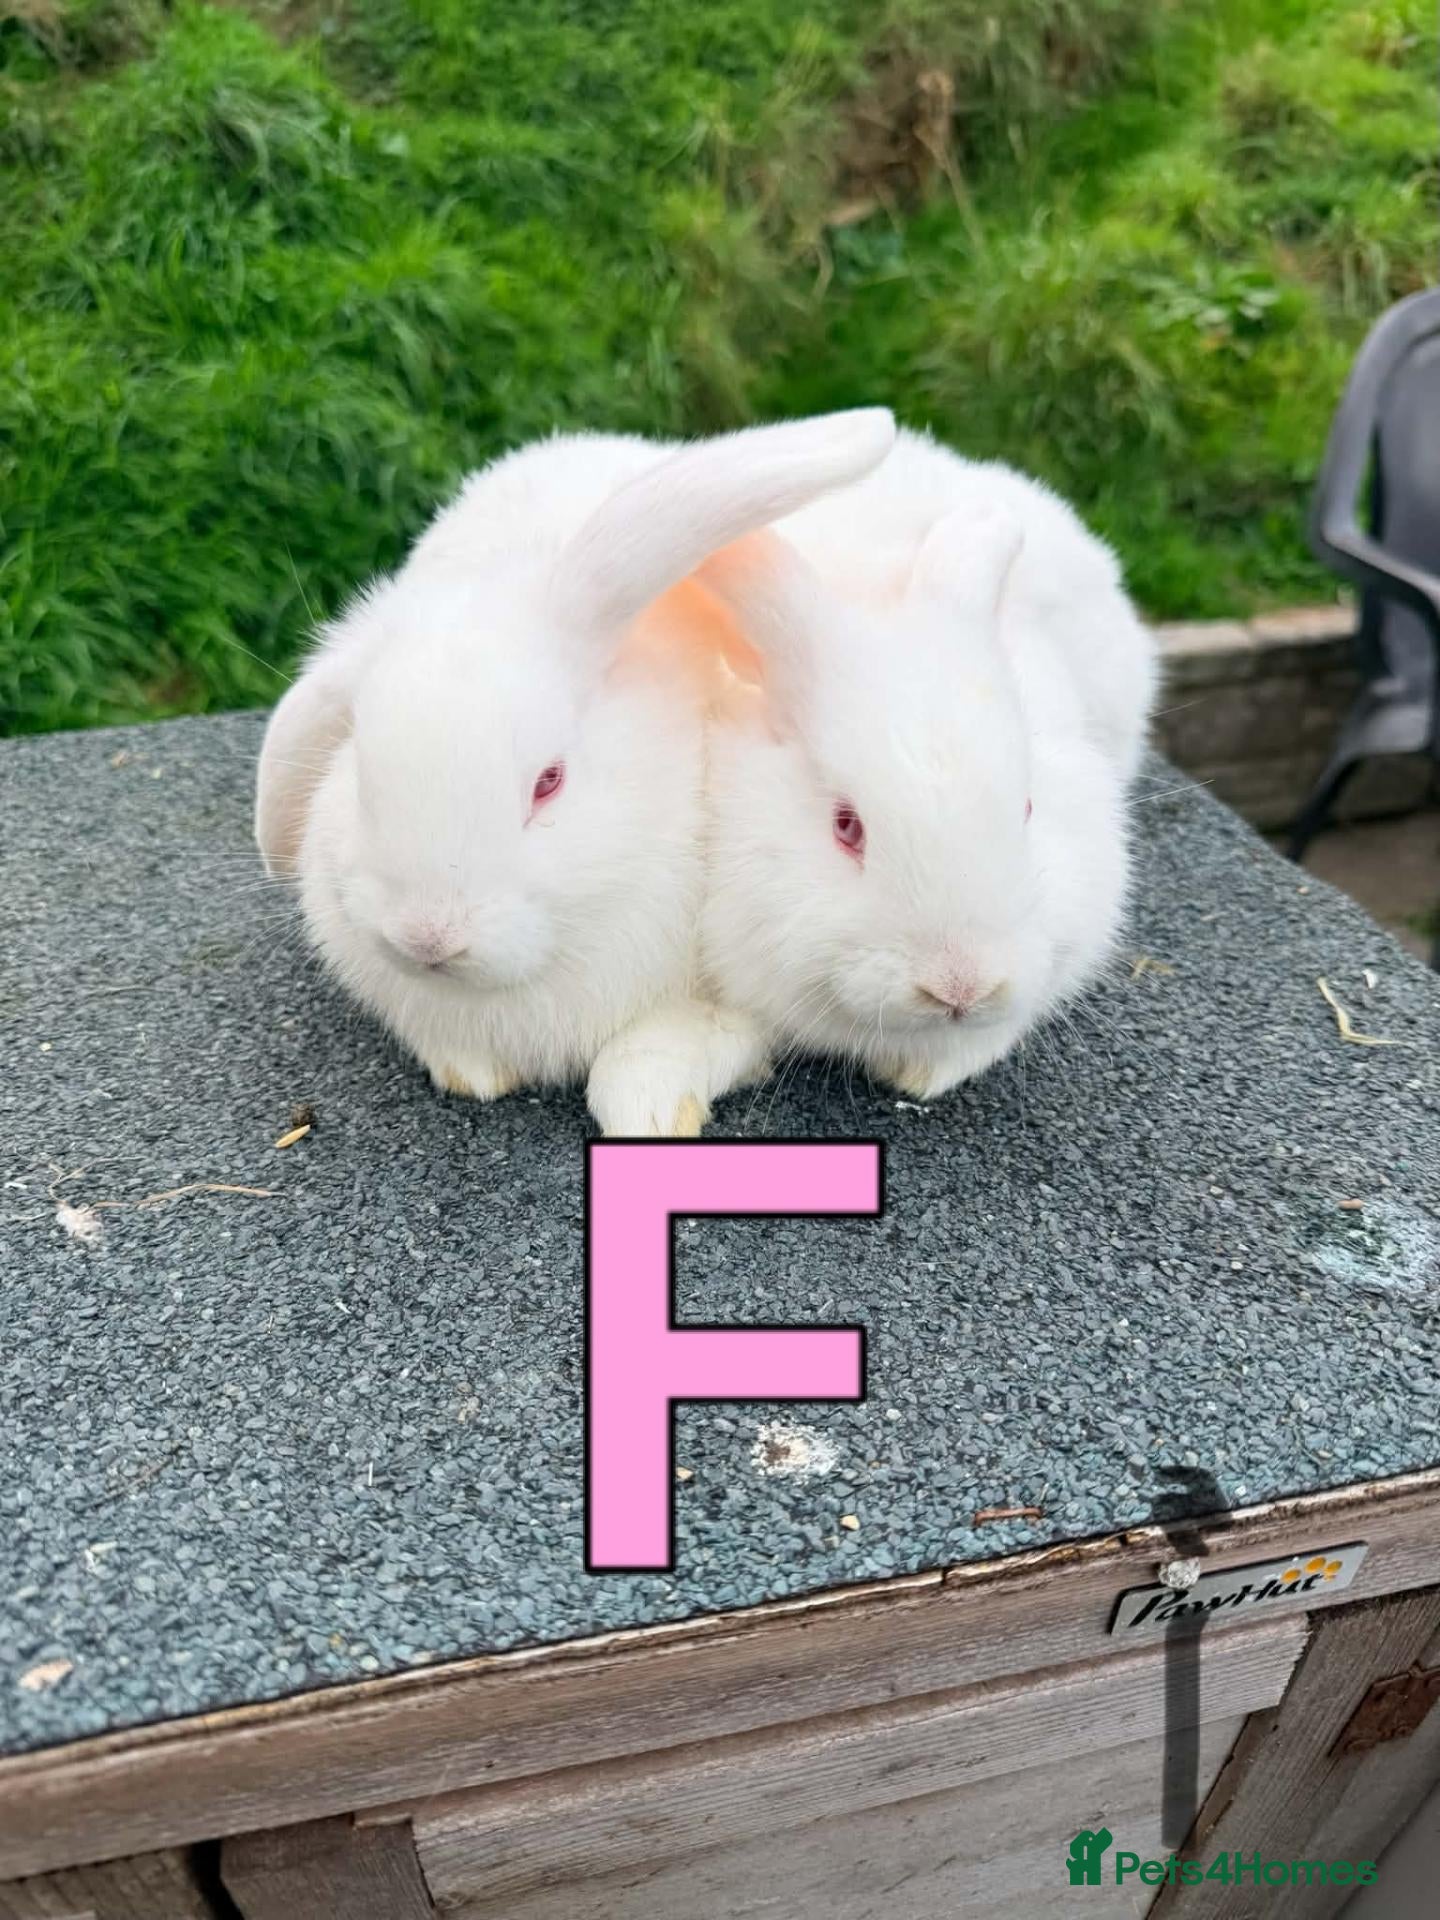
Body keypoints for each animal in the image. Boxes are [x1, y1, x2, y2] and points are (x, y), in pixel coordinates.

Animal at [253, 409, 897, 1135]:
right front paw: (475, 1074)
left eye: (549, 781)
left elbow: (668, 1048)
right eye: (360, 775)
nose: (428, 937)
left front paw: (649, 1111)